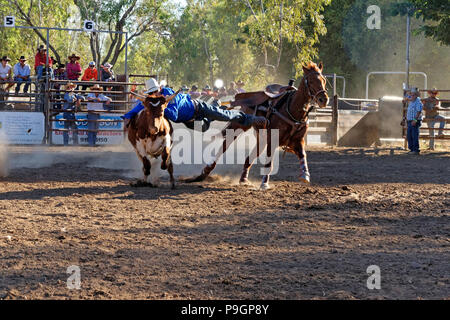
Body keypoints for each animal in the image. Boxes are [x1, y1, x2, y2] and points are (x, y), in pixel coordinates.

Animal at [185, 61, 328, 189]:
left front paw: (305, 175)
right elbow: (269, 162)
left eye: (324, 80)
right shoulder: (273, 139)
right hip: (239, 127)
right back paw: (206, 170)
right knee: (224, 146)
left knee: (250, 157)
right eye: (310, 81)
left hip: (261, 139)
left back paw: (243, 179)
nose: (324, 99)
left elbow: (303, 155)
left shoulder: (298, 140)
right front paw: (264, 183)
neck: (291, 109)